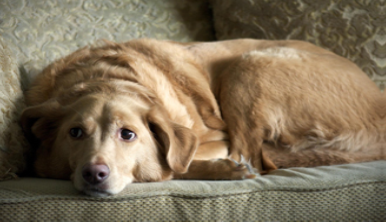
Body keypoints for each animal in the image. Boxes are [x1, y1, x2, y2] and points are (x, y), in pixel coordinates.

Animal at [20, 39, 382, 196]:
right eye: (75, 133)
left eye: (128, 134)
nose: (94, 173)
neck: (105, 75)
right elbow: (173, 165)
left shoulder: (214, 138)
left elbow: (173, 164)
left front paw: (225, 169)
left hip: (250, 65)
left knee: (254, 156)